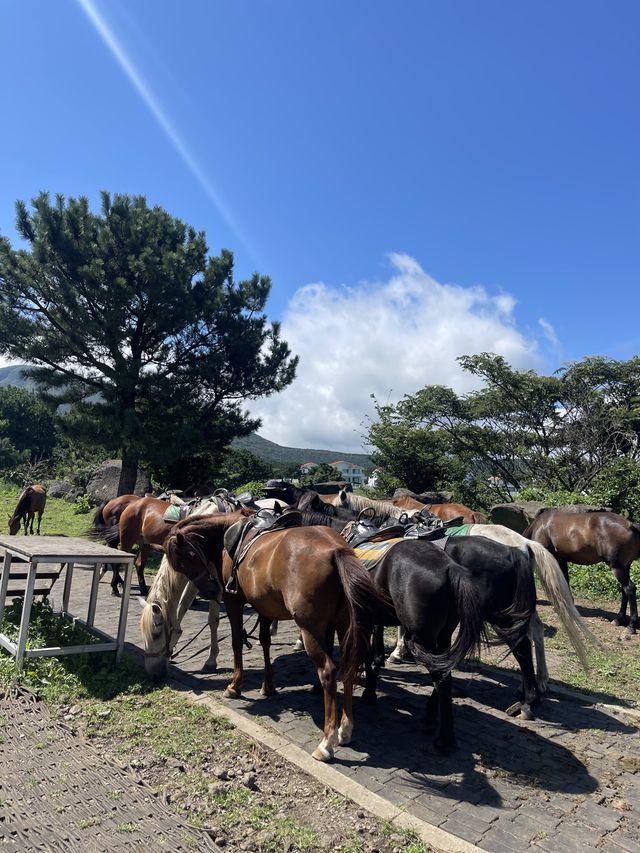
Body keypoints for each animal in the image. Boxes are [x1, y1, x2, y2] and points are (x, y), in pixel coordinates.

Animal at [165, 510, 384, 764]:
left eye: (187, 558)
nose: (209, 591)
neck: (230, 533)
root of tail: (337, 550)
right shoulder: (264, 606)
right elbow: (265, 641)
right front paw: (268, 685)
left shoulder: (234, 601)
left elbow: (237, 641)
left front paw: (234, 685)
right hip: (344, 624)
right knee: (348, 668)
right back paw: (345, 730)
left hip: (311, 629)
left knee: (328, 672)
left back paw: (326, 742)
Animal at [362, 536, 536, 748]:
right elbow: (375, 654)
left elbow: (369, 654)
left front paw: (369, 691)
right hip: (467, 628)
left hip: (436, 634)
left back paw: (445, 738)